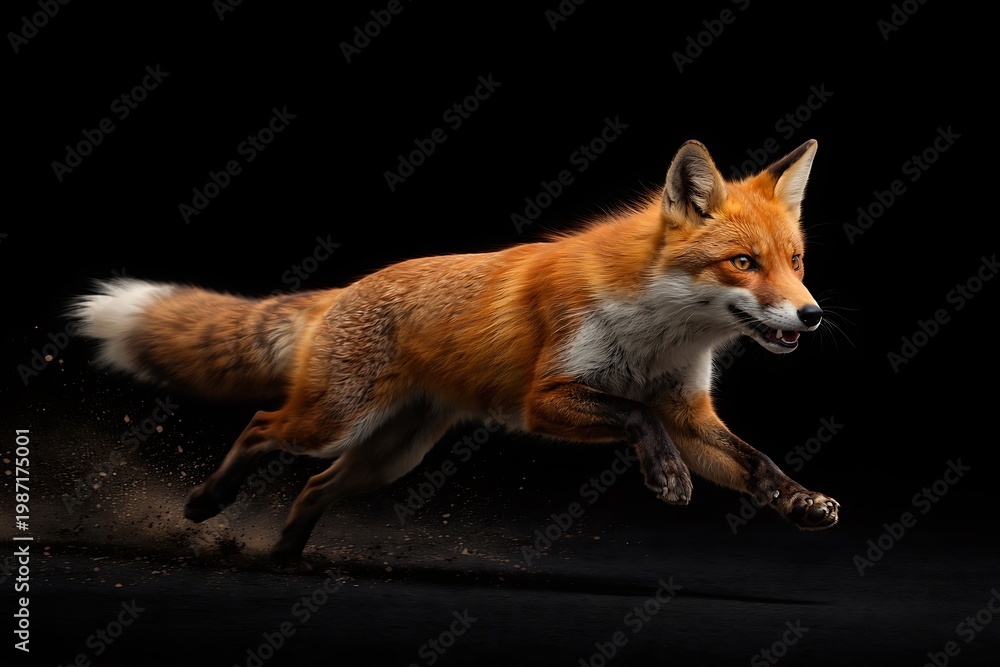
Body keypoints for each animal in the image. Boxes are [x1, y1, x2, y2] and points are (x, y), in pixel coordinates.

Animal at [70, 138, 839, 568]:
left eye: (796, 261)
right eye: (743, 262)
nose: (812, 315)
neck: (660, 334)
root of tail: (344, 289)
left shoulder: (687, 408)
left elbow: (755, 462)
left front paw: (800, 501)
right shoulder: (547, 399)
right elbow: (635, 417)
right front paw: (668, 477)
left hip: (391, 456)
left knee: (314, 487)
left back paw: (281, 557)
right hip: (330, 424)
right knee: (262, 426)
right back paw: (209, 502)